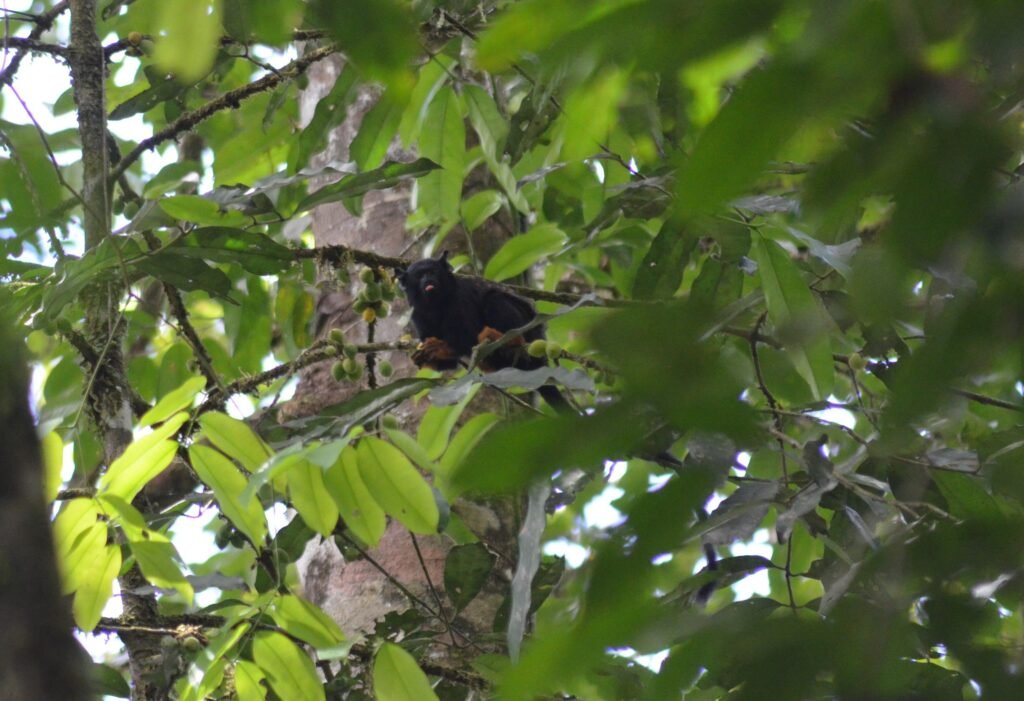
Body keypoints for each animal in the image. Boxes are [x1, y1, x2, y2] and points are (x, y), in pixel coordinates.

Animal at [397, 251, 568, 410]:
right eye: (419, 276)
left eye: (432, 272)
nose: (428, 280)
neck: (436, 303)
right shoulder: (417, 312)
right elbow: (449, 361)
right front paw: (427, 357)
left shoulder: (460, 297)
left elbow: (466, 338)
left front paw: (436, 349)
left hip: (529, 329)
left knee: (495, 299)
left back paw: (512, 341)